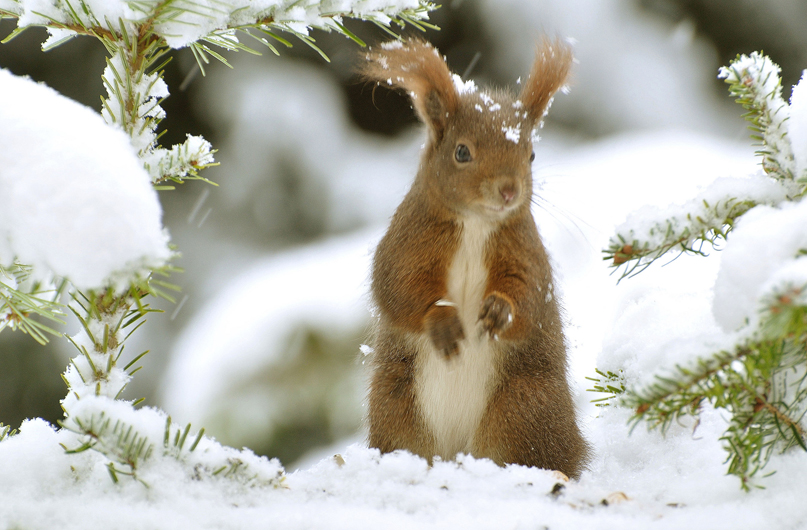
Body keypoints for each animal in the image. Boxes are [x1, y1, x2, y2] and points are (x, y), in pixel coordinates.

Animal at [362, 38, 592, 478]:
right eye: (462, 152)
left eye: (531, 154)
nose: (508, 190)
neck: (474, 225)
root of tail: (456, 452)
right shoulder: (406, 241)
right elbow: (398, 284)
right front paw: (442, 320)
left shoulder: (526, 252)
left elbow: (529, 294)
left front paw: (500, 310)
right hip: (396, 405)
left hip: (523, 406)